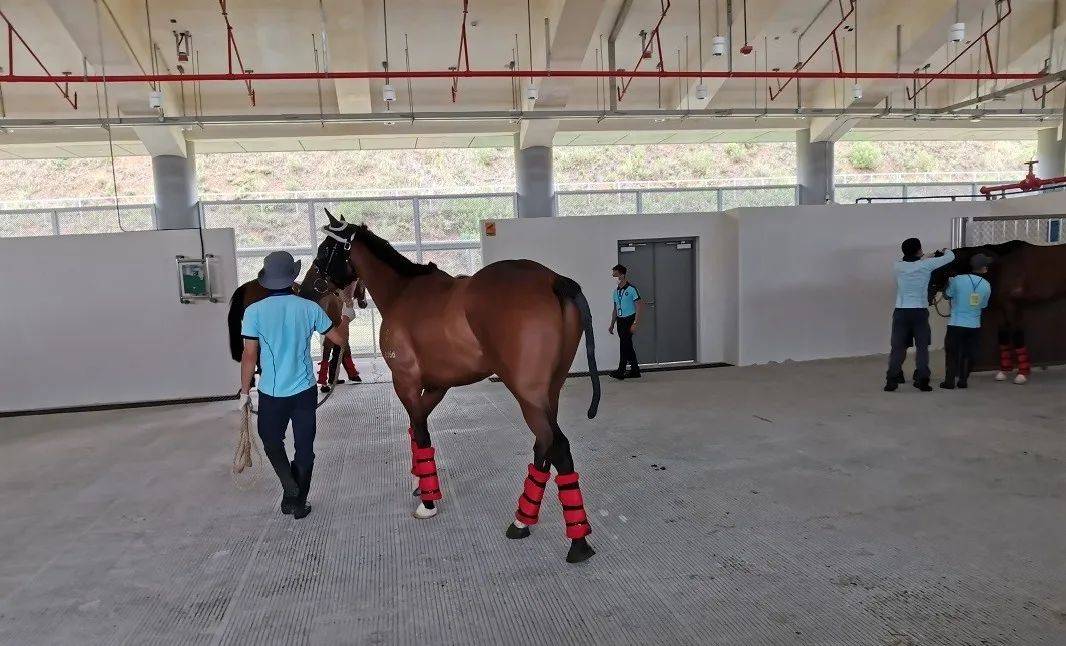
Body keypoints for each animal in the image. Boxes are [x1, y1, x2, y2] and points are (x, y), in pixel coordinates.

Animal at [315, 210, 601, 562]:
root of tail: (553, 280)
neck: (401, 292)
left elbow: (421, 433)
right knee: (543, 444)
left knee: (557, 446)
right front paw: (419, 482)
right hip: (550, 392)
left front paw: (427, 502)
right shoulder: (437, 386)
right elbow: (416, 428)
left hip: (528, 394)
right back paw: (522, 521)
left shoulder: (405, 382)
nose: (314, 283)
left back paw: (577, 542)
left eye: (326, 249)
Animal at [929, 241, 1066, 383]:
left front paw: (1022, 374)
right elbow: (1003, 336)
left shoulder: (1012, 307)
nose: (928, 297)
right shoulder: (1001, 310)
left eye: (937, 271)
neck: (1001, 266)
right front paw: (1003, 372)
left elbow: (1017, 336)